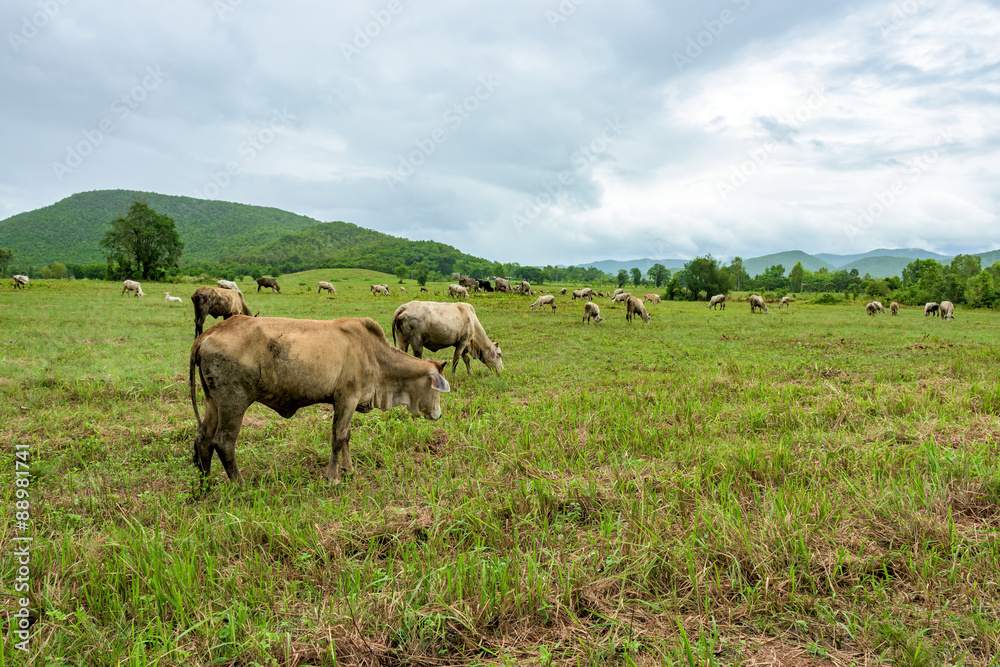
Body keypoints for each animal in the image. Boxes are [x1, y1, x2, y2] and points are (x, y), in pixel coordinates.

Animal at [189, 316, 450, 486]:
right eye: (437, 389)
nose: (438, 414)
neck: (374, 355)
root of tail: (210, 332)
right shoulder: (346, 398)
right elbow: (338, 437)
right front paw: (332, 478)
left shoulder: (348, 403)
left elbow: (346, 436)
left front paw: (348, 470)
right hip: (234, 403)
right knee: (223, 442)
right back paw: (240, 485)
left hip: (213, 401)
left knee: (203, 438)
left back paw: (206, 484)